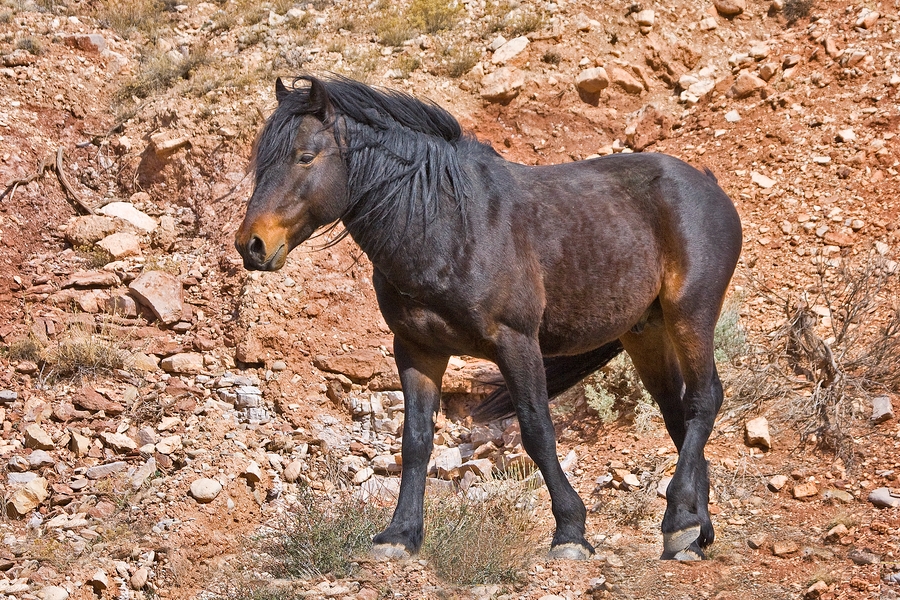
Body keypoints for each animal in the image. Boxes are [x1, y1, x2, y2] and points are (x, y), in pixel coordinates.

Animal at [236, 75, 740, 564]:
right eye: (261, 162)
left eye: (305, 156)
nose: (251, 244)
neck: (446, 224)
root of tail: (709, 185)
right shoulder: (417, 348)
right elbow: (415, 441)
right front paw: (399, 535)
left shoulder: (516, 342)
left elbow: (537, 432)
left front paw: (570, 533)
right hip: (645, 332)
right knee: (677, 415)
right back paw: (695, 533)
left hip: (690, 313)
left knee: (703, 400)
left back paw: (678, 523)